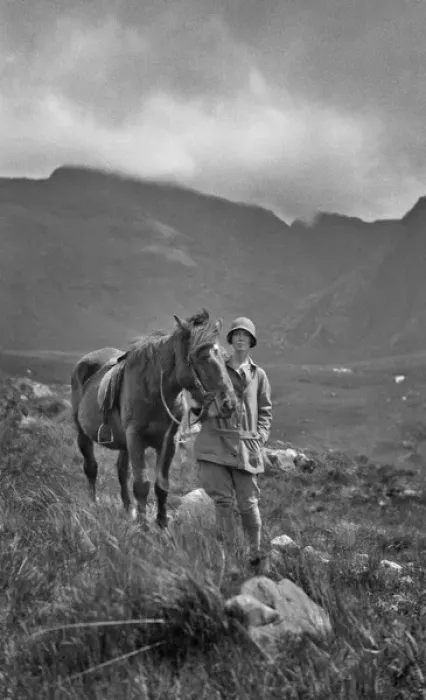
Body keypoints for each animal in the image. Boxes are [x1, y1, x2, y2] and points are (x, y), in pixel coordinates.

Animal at [70, 308, 237, 528]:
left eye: (225, 356)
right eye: (201, 356)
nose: (229, 403)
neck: (153, 390)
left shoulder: (169, 441)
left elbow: (161, 485)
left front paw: (162, 523)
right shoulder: (136, 438)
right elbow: (142, 484)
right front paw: (143, 526)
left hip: (124, 443)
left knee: (122, 471)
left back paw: (129, 511)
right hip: (83, 433)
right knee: (91, 467)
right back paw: (93, 504)